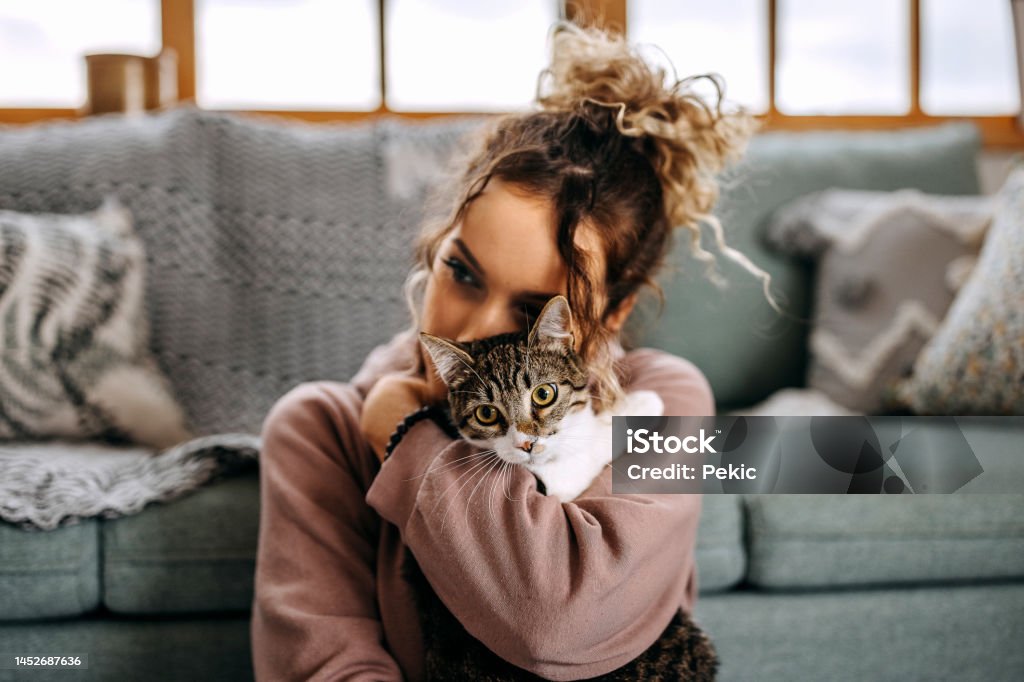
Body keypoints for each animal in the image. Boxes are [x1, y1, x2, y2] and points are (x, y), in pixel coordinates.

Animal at [407, 296, 720, 679]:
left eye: (544, 393)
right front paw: (638, 404)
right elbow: (587, 447)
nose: (526, 443)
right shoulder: (552, 483)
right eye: (486, 414)